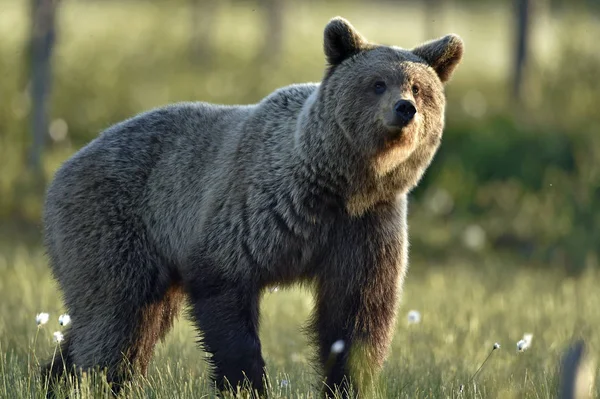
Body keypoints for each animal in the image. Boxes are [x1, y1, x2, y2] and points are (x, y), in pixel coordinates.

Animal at [42, 16, 464, 399]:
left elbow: (357, 315)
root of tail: (65, 166)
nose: (405, 108)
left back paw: (54, 377)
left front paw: (348, 383)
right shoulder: (255, 211)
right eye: (377, 83)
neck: (339, 186)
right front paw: (247, 382)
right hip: (115, 221)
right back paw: (102, 381)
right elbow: (225, 293)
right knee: (116, 317)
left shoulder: (366, 227)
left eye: (419, 87)